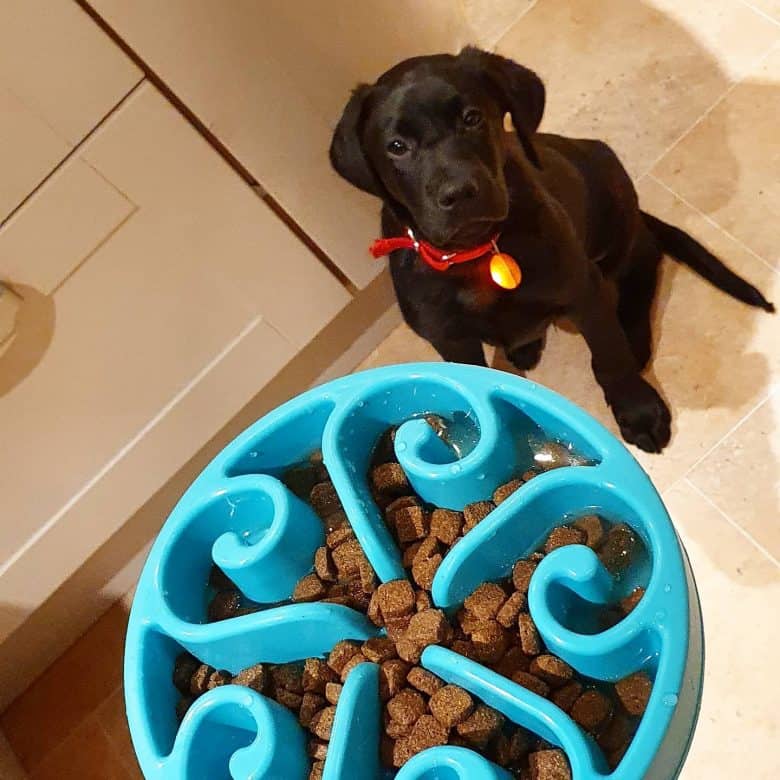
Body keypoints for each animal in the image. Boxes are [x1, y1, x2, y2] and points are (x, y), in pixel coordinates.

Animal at [328, 47, 768, 450]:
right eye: (397, 146)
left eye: (472, 118)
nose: (459, 193)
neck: (477, 253)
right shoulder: (451, 339)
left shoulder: (583, 289)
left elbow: (610, 356)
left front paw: (638, 411)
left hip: (613, 219)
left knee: (643, 261)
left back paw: (634, 337)